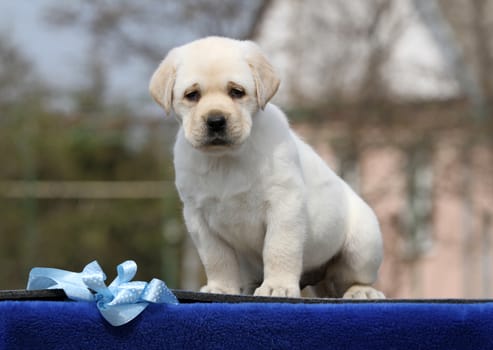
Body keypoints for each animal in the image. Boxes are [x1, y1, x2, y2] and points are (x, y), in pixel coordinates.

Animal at [150, 36, 384, 298]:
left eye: (237, 92)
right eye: (192, 95)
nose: (216, 121)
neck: (226, 159)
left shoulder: (284, 204)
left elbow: (279, 249)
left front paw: (277, 286)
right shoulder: (198, 216)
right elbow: (217, 258)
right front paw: (221, 288)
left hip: (363, 243)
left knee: (352, 277)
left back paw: (361, 291)